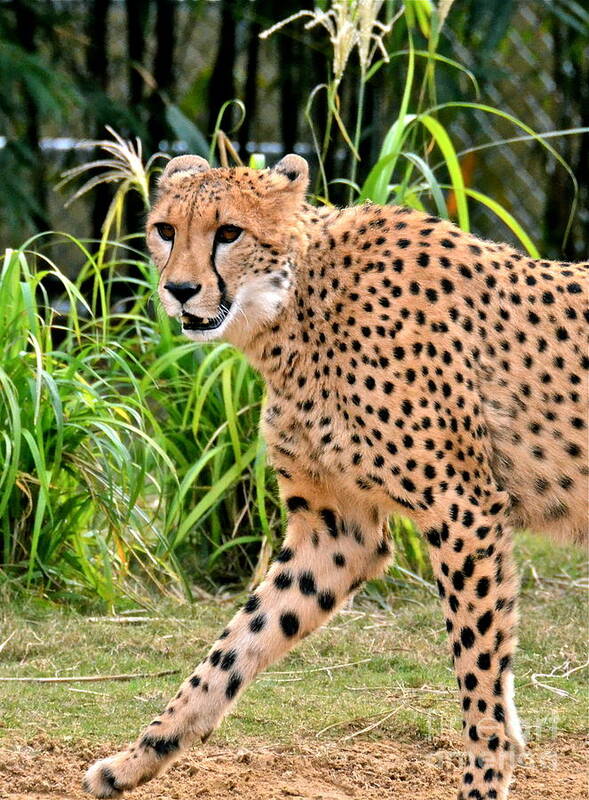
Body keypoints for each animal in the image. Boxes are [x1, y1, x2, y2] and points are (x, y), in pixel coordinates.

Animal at [84, 155, 588, 800]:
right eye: (165, 230)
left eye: (229, 232)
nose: (180, 290)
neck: (297, 307)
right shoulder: (338, 530)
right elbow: (236, 646)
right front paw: (138, 757)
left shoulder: (463, 509)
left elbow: (478, 668)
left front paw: (484, 778)